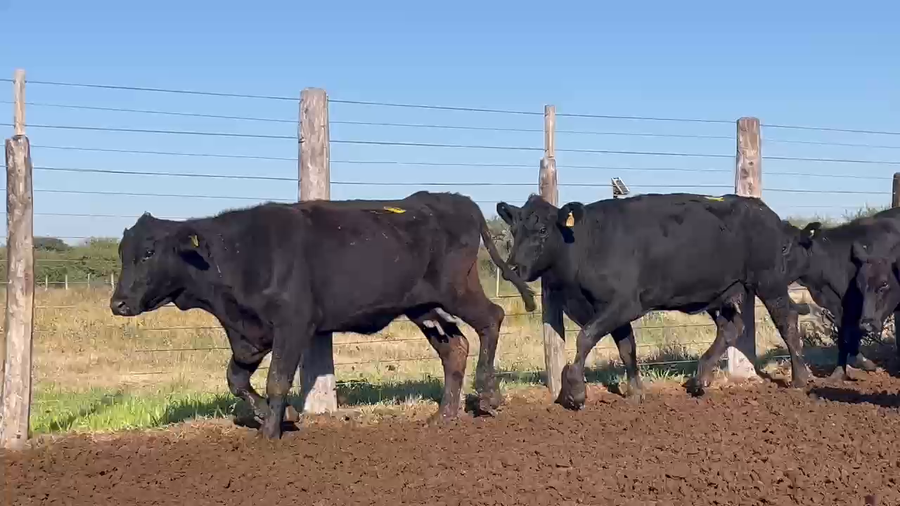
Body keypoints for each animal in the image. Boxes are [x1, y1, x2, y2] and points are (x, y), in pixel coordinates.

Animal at [109, 191, 536, 439]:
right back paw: (444, 415)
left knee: (492, 318)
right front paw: (280, 416)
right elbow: (236, 379)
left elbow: (277, 381)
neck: (237, 254)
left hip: (457, 289)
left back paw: (489, 394)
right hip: (422, 305)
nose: (119, 304)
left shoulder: (294, 324)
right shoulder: (249, 335)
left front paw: (269, 435)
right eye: (123, 252)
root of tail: (454, 199)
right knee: (455, 347)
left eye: (149, 252)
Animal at [496, 193, 810, 410]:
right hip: (718, 293)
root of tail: (763, 210)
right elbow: (626, 348)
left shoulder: (623, 303)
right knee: (731, 328)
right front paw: (636, 392)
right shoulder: (609, 309)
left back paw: (800, 377)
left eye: (542, 231)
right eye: (514, 231)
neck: (585, 244)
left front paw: (574, 389)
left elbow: (586, 337)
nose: (513, 267)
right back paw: (700, 378)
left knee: (786, 320)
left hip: (769, 283)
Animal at [789, 208, 900, 377]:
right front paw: (838, 373)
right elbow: (843, 337)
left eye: (785, 247)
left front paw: (863, 362)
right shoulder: (841, 308)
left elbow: (852, 334)